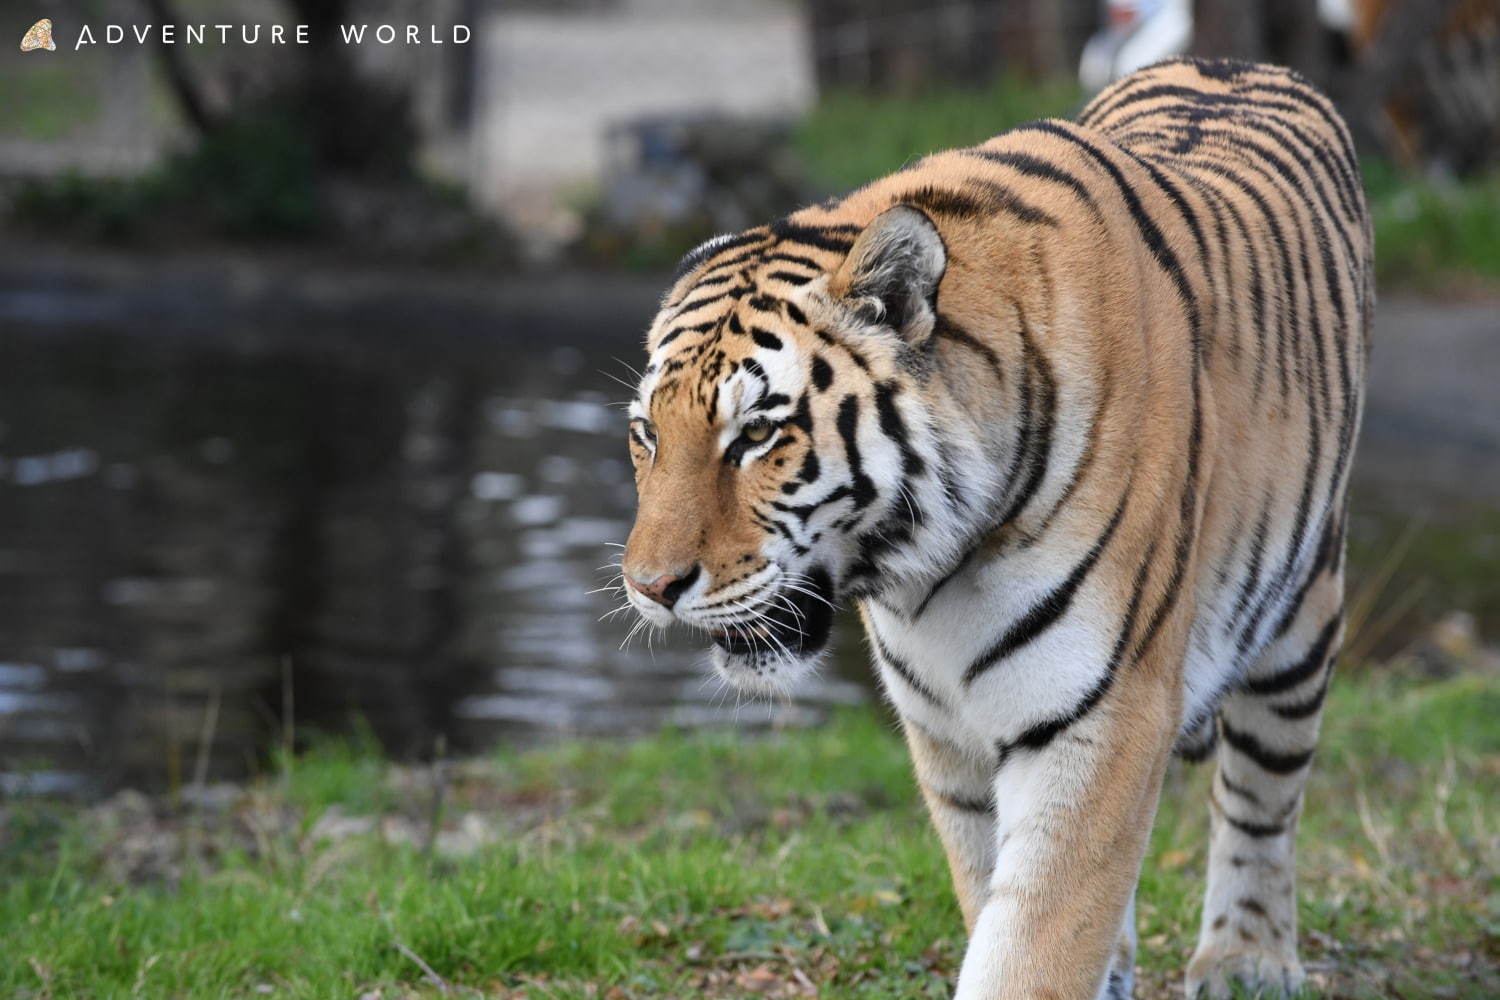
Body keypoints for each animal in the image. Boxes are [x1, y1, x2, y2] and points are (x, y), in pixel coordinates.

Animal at [618, 56, 1374, 1000]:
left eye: (757, 433)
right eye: (648, 434)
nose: (650, 589)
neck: (929, 573)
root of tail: (1235, 62)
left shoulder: (1103, 714)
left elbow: (1037, 940)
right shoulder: (949, 737)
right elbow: (1000, 902)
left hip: (1302, 618)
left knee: (1262, 796)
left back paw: (1247, 960)